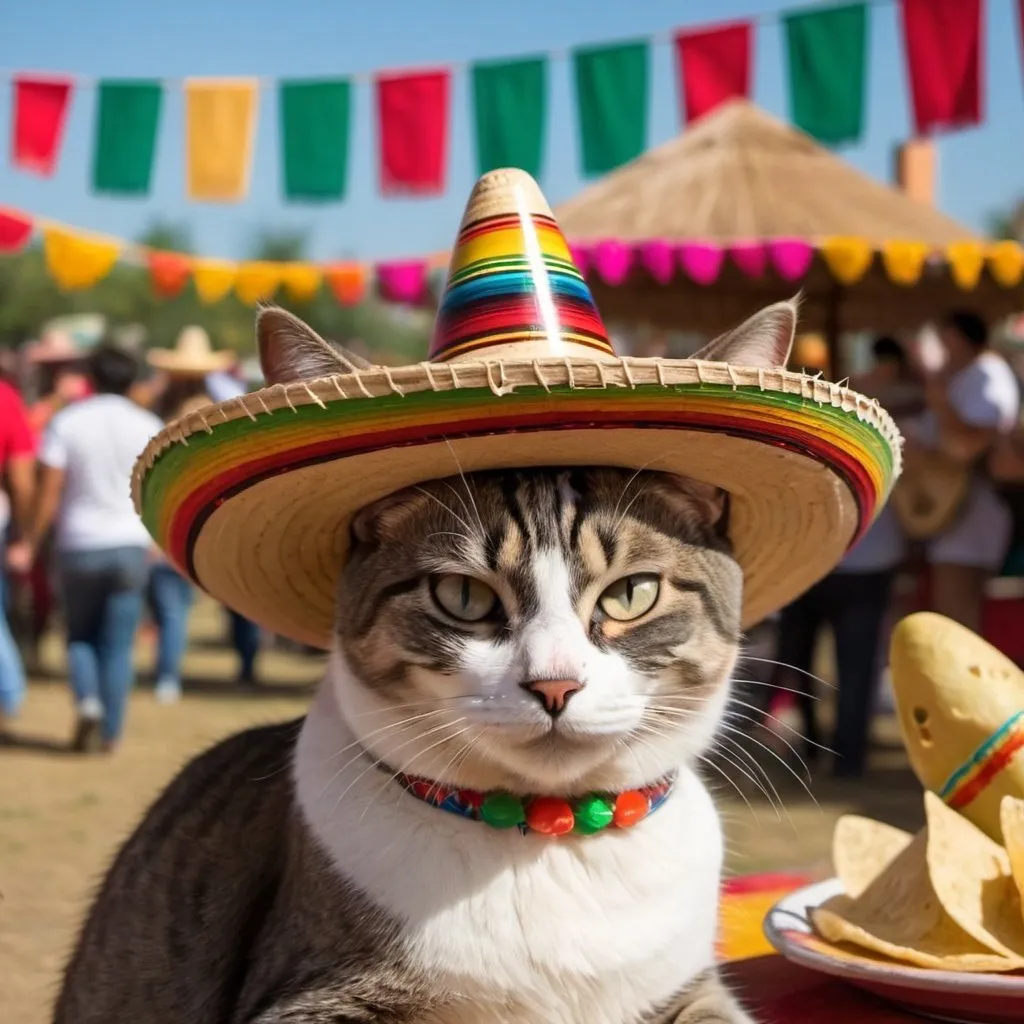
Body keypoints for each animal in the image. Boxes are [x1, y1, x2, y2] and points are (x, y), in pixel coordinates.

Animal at [51, 301, 794, 1024]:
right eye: (463, 596)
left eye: (631, 593)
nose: (555, 684)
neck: (547, 842)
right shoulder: (316, 996)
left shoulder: (690, 988)